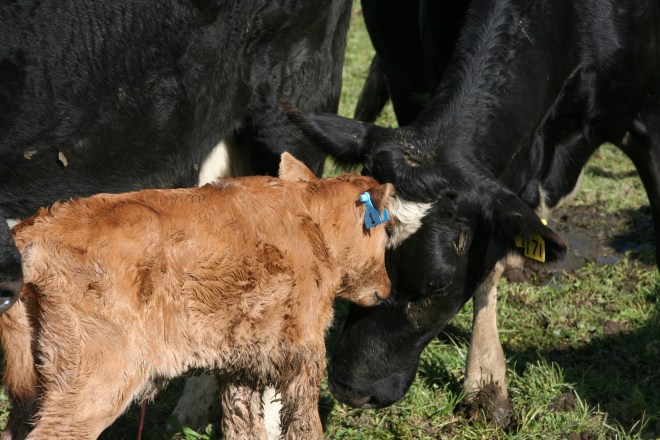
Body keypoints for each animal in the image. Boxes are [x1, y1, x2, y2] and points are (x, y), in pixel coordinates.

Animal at [0, 153, 396, 439]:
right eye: (386, 233)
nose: (387, 290)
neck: (312, 224)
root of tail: (34, 233)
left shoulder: (242, 365)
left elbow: (244, 428)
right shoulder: (306, 351)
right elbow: (305, 425)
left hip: (37, 382)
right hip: (95, 384)